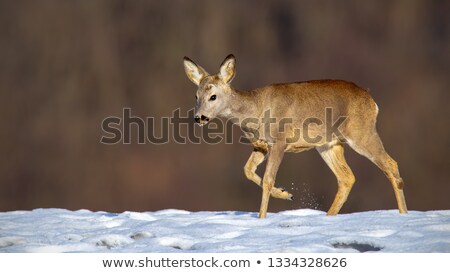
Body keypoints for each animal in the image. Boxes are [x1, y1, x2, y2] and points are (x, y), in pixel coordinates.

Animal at [183, 54, 408, 218]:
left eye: (213, 96)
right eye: (196, 96)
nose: (199, 117)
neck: (255, 112)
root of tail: (372, 101)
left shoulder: (280, 140)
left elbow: (268, 178)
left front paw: (262, 217)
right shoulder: (261, 145)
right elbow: (247, 170)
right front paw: (286, 194)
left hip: (361, 132)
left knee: (391, 164)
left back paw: (403, 214)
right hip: (328, 144)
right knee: (347, 177)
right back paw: (328, 216)